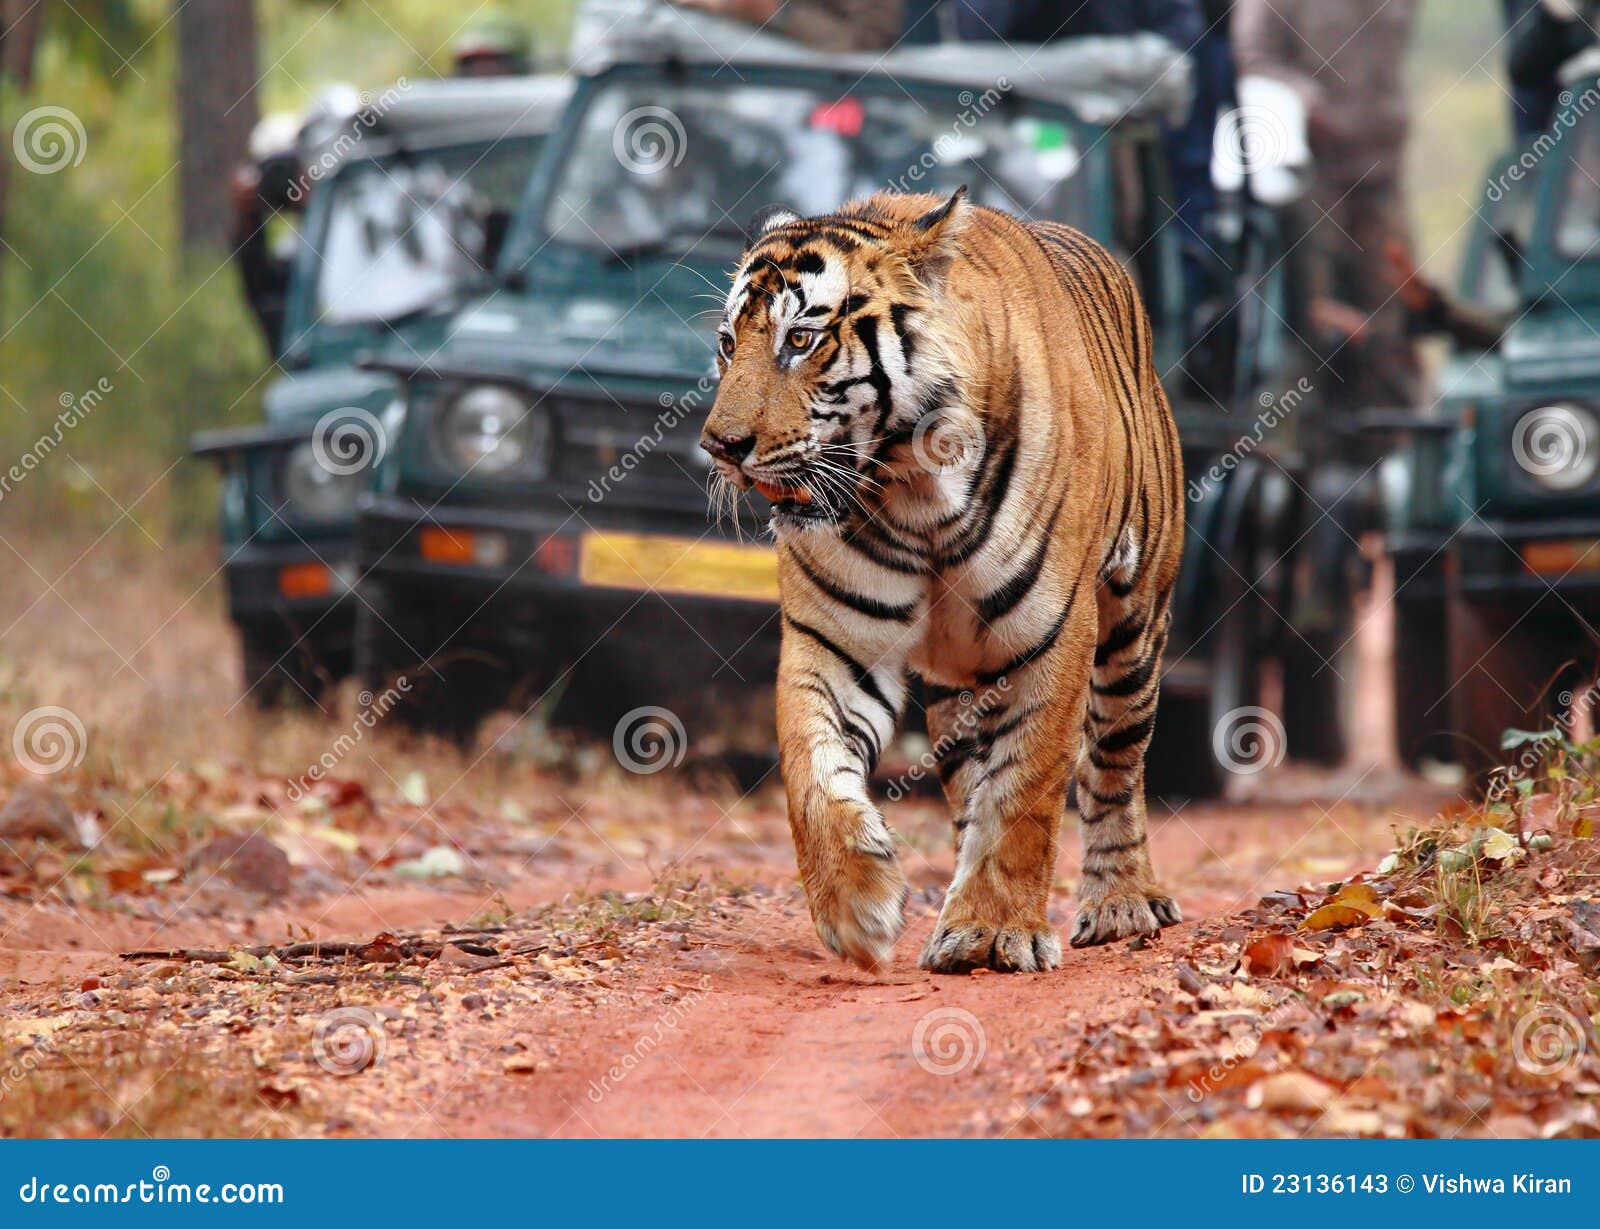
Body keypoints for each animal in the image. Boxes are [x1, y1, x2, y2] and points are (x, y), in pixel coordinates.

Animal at [700, 187, 1190, 972]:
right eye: (726, 342)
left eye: (801, 340)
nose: (720, 446)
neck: (910, 491)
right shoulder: (835, 641)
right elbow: (811, 772)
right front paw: (857, 907)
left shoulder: (1053, 634)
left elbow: (1028, 786)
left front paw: (994, 930)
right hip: (963, 682)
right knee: (969, 782)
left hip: (1133, 626)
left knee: (1115, 764)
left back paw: (1122, 902)